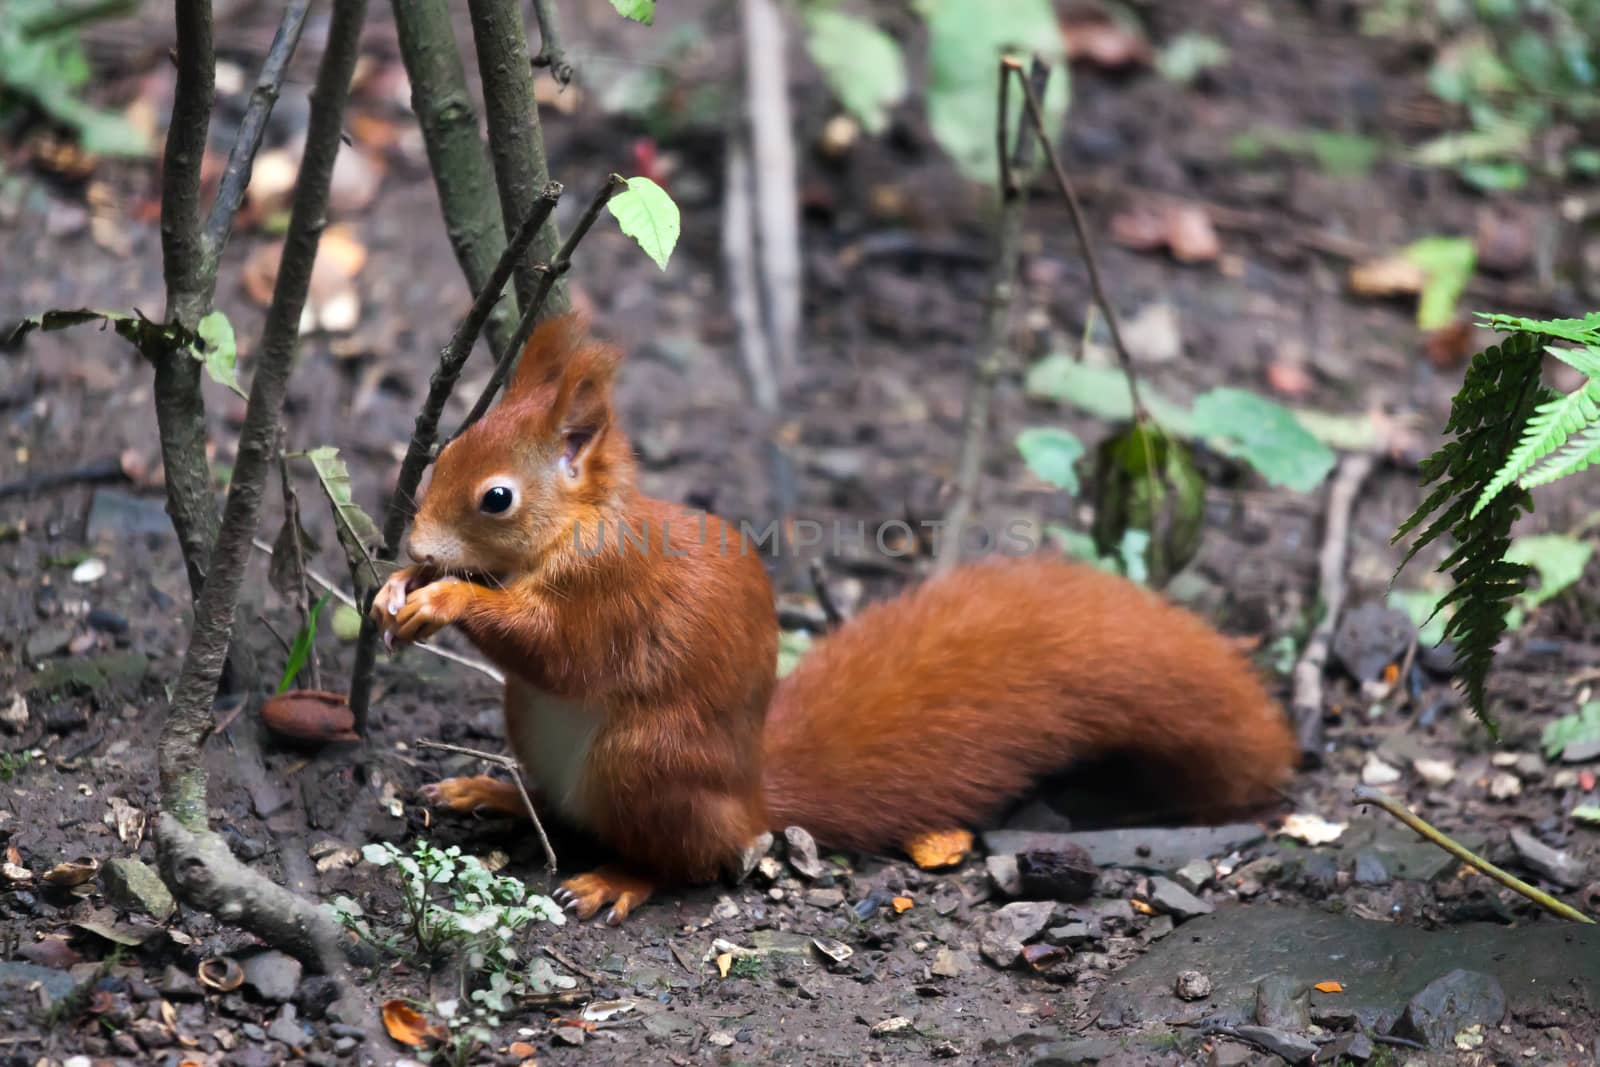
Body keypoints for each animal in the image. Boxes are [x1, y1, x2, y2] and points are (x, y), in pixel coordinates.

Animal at [374, 313, 1299, 921]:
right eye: (446, 451)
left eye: (497, 498)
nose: (412, 537)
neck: (577, 527)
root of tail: (752, 798)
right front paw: (398, 585)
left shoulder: (612, 593)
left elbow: (555, 646)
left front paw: (445, 596)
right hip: (538, 730)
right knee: (562, 808)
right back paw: (492, 789)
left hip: (648, 760)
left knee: (681, 858)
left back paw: (617, 879)